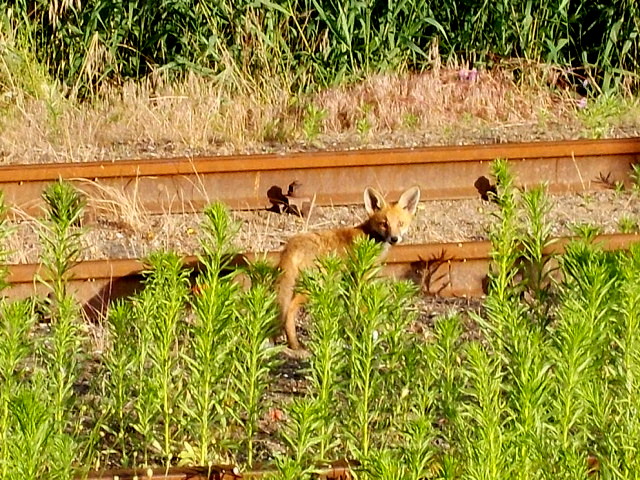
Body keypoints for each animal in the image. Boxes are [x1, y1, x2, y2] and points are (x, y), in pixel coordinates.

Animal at [276, 186, 420, 350]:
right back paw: (294, 344)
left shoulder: (349, 282)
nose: (394, 238)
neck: (370, 239)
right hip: (313, 286)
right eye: (384, 224)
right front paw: (368, 334)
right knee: (290, 310)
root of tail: (291, 245)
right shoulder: (362, 279)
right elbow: (363, 308)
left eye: (400, 223)